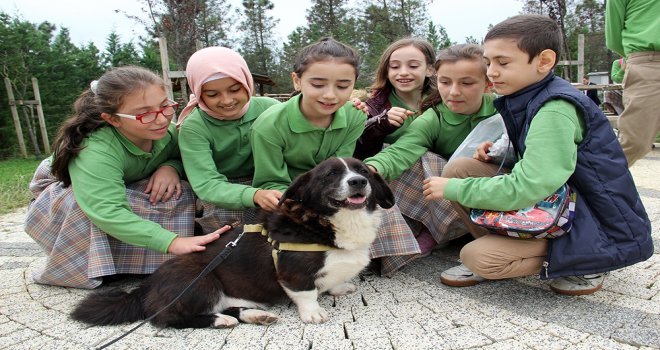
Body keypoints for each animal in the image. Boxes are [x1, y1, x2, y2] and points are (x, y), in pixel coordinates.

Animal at [72, 157, 394, 330]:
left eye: (363, 171)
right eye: (331, 174)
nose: (358, 183)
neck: (324, 221)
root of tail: (148, 284)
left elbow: (330, 283)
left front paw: (339, 287)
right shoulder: (293, 273)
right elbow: (306, 294)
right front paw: (313, 313)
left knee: (229, 308)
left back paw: (254, 314)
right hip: (202, 281)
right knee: (167, 316)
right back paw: (220, 321)